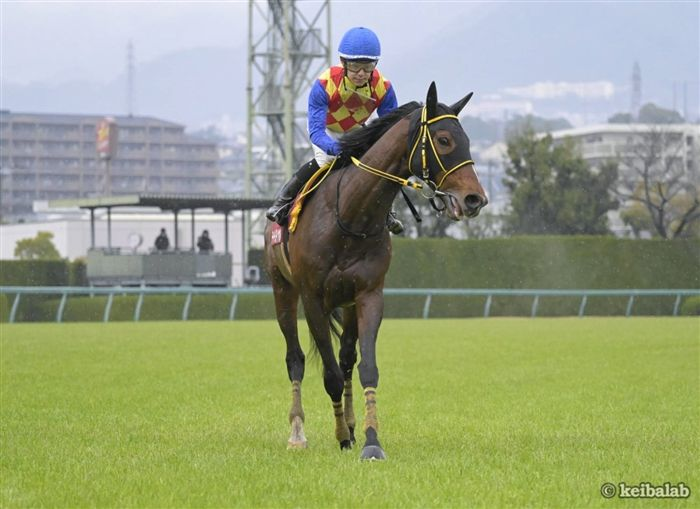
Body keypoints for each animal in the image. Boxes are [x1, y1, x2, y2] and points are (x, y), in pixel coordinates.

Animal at [263, 82, 487, 460]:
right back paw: (298, 432)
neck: (350, 215)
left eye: (468, 139)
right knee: (295, 358)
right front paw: (339, 434)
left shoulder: (368, 294)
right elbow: (329, 375)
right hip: (283, 290)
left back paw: (352, 425)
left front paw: (369, 440)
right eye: (444, 140)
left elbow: (365, 367)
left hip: (347, 304)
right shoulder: (312, 299)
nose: (475, 199)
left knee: (346, 357)